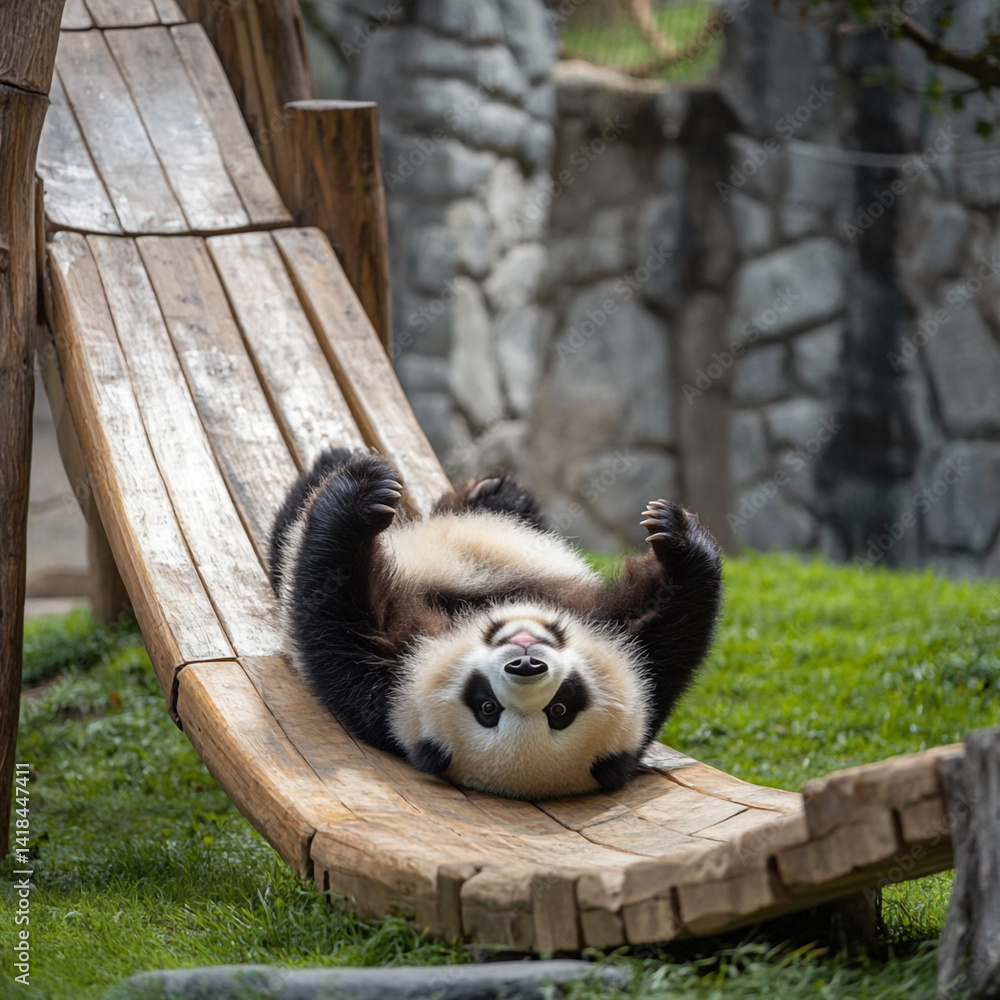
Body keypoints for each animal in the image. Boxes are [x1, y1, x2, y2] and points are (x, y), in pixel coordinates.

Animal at [268, 448, 722, 800]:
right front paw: (675, 535)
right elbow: (679, 624)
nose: (526, 663)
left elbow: (329, 605)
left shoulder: (380, 684)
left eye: (560, 709)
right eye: (486, 706)